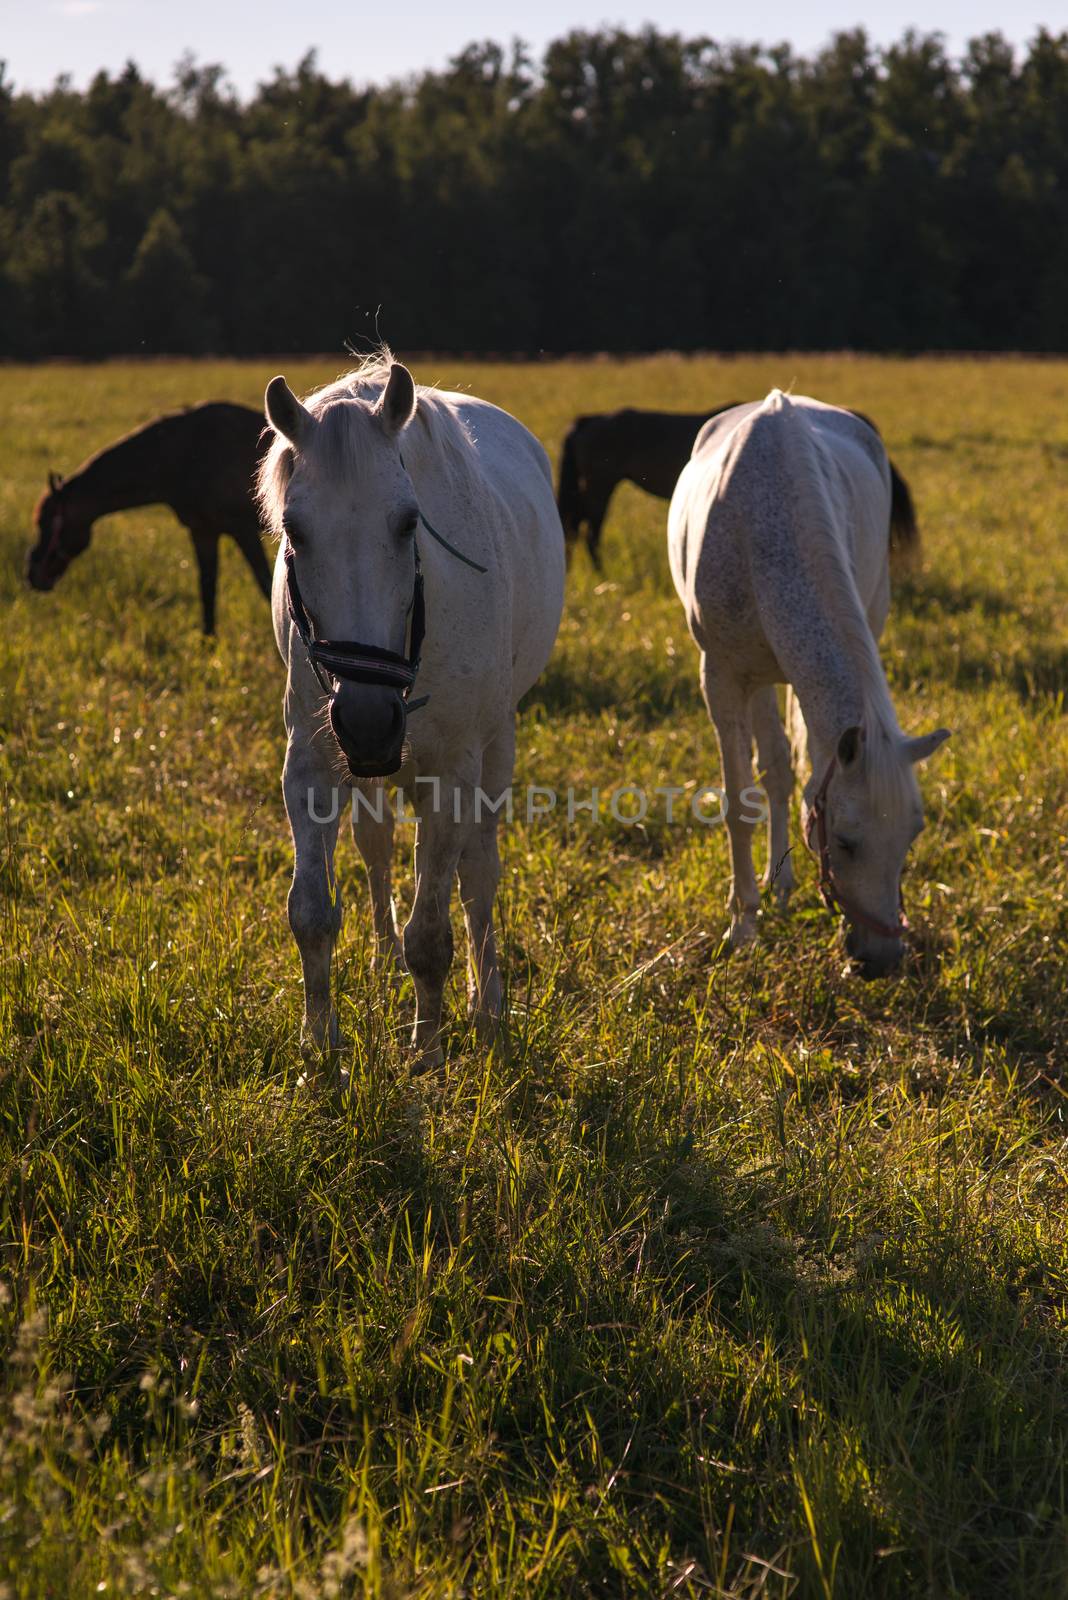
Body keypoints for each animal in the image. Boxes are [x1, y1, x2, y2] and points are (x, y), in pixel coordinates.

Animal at [28, 403, 273, 633]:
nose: (33, 574)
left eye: (44, 523)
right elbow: (207, 591)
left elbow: (267, 586)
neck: (187, 453)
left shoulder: (243, 530)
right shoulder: (203, 532)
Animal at [257, 356, 565, 1068]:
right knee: (377, 846)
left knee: (479, 875)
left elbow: (433, 932)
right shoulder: (311, 763)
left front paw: (426, 1053)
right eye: (294, 530)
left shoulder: (451, 773)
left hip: (496, 747)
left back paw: (488, 1004)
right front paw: (320, 1048)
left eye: (407, 523)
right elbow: (311, 912)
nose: (368, 721)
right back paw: (381, 958)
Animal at [668, 393, 952, 979]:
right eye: (845, 842)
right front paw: (742, 926)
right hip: (756, 680)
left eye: (911, 835)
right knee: (775, 770)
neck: (764, 526)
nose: (883, 960)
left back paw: (782, 884)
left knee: (785, 768)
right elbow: (739, 802)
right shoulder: (723, 678)